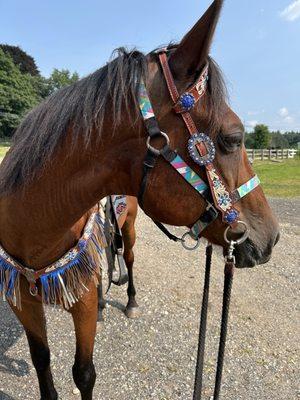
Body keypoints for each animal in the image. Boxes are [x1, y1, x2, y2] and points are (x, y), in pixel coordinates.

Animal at [0, 1, 278, 398]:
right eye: (233, 138)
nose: (271, 236)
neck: (34, 223)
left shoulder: (81, 301)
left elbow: (83, 373)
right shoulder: (21, 300)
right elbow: (42, 363)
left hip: (128, 229)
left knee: (128, 259)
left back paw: (128, 301)